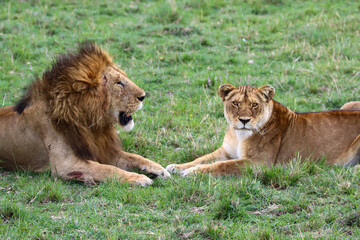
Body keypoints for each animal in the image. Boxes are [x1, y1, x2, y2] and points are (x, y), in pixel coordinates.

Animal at [0, 42, 171, 186]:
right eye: (119, 83)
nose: (143, 96)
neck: (91, 124)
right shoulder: (66, 165)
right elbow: (106, 169)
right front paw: (138, 178)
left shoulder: (104, 150)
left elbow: (133, 156)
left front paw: (158, 169)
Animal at [166, 84, 360, 176]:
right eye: (235, 103)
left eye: (254, 105)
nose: (244, 120)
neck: (239, 135)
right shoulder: (225, 152)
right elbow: (201, 158)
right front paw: (177, 166)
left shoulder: (259, 163)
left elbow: (222, 166)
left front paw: (192, 172)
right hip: (349, 104)